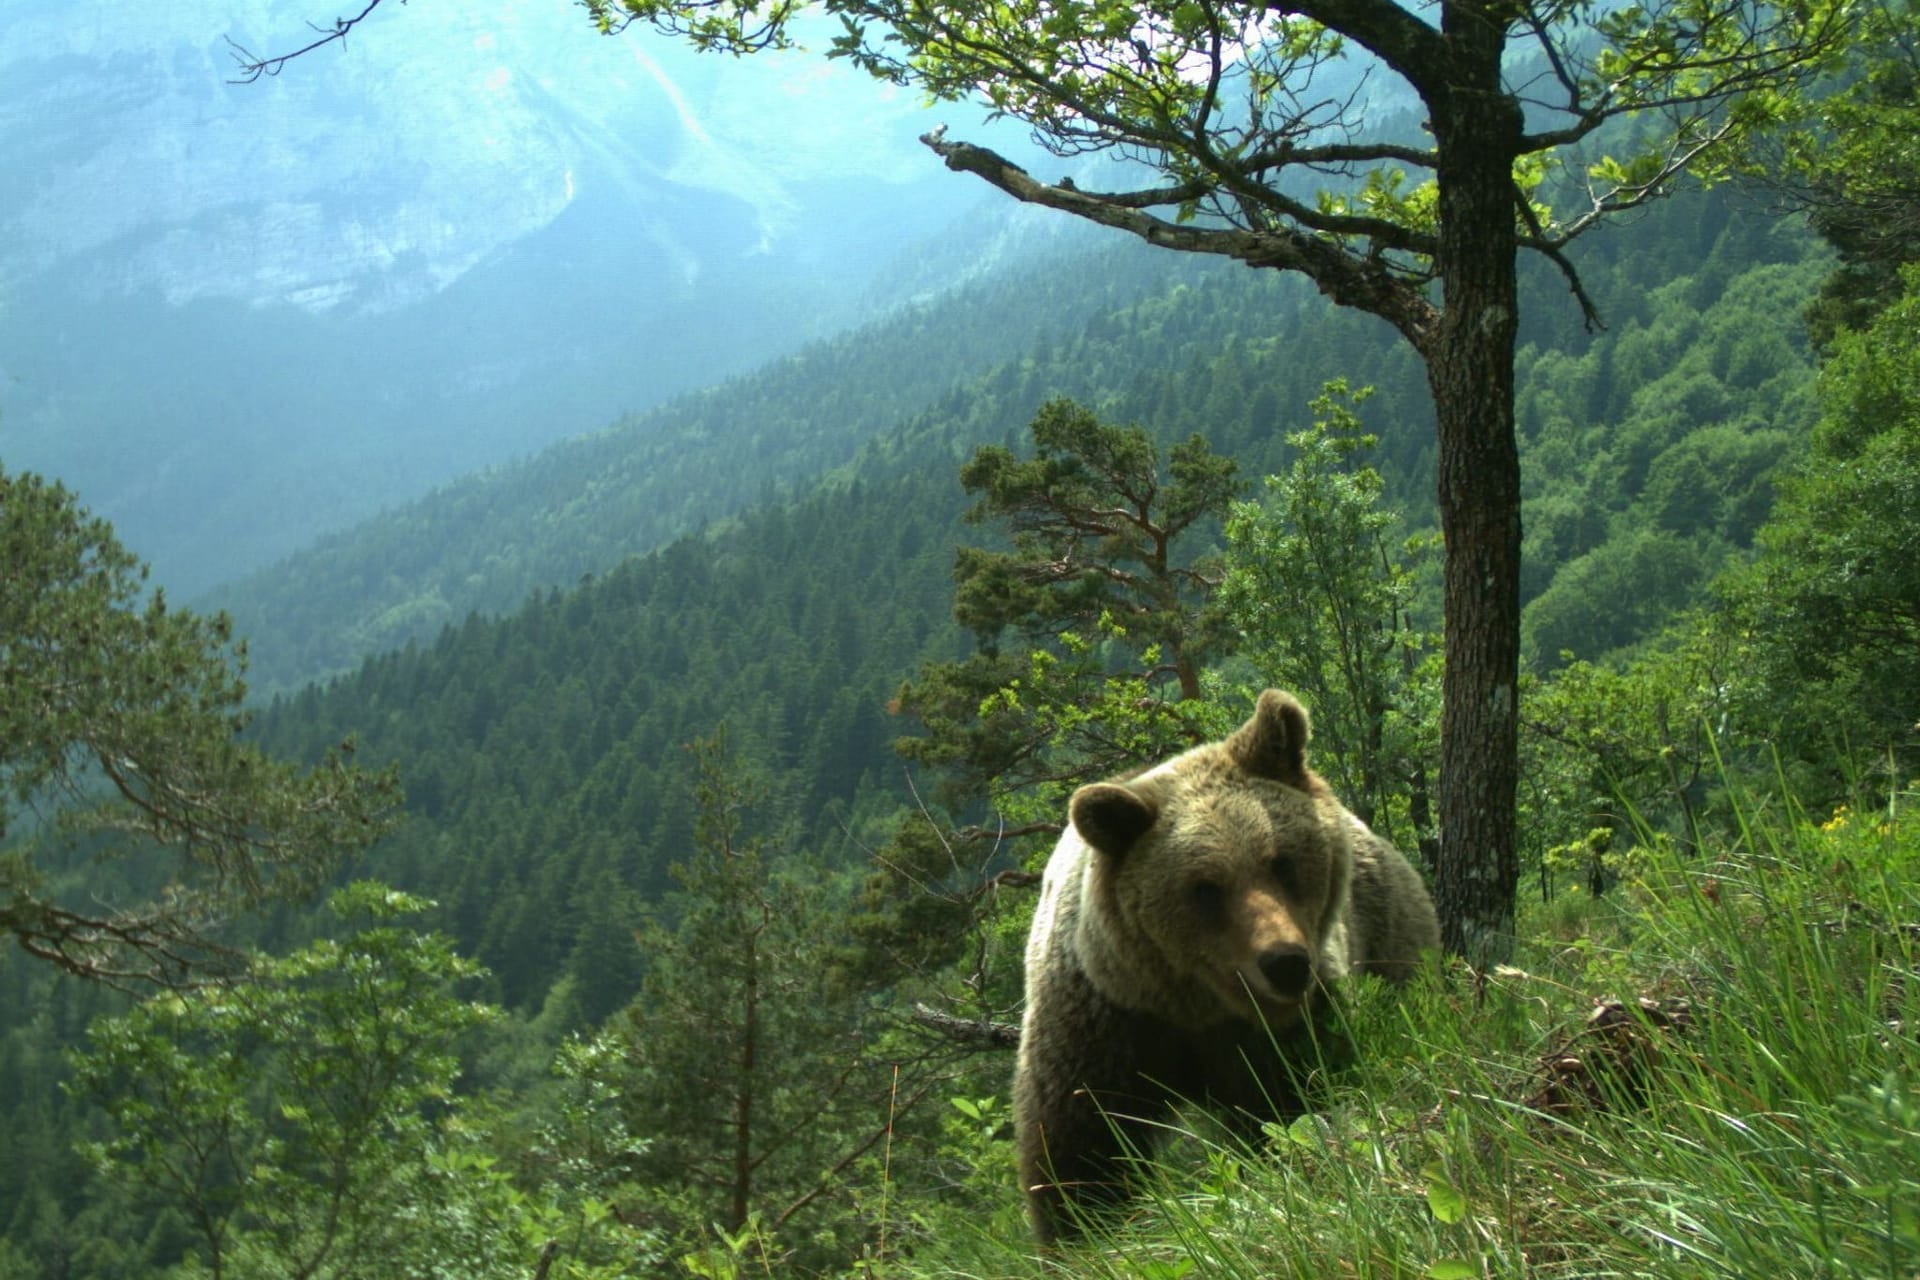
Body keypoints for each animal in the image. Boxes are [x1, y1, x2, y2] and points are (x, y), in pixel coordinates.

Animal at [1013, 690, 1436, 1243]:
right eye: (1205, 888)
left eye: (1281, 860)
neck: (1198, 1006)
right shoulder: (1106, 1022)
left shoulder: (1287, 1029)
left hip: (1390, 930)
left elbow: (1295, 1104)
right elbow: (1082, 1143)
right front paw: (1085, 1229)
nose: (1285, 963)